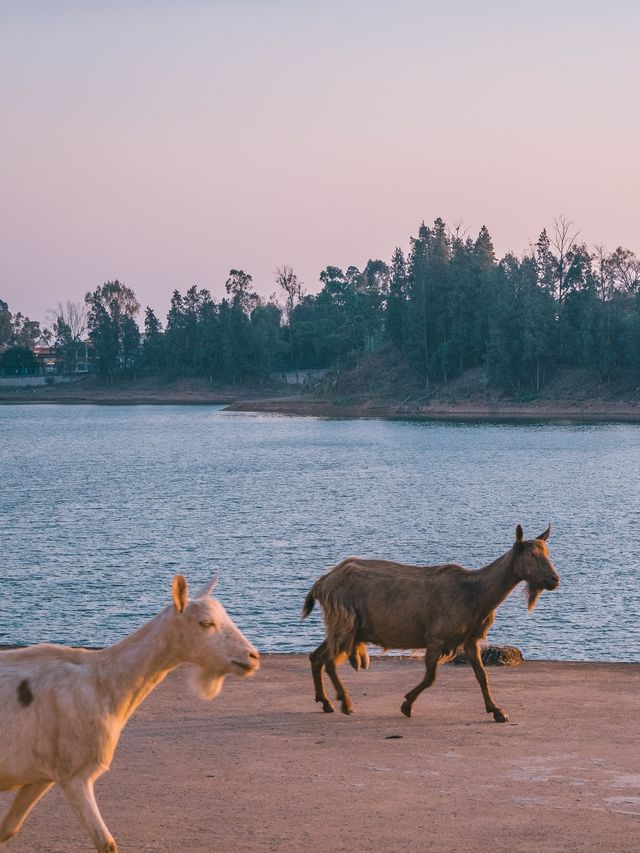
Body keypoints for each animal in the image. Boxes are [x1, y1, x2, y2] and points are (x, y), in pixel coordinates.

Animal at [0, 576, 260, 848]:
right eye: (206, 623)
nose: (252, 656)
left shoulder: (42, 776)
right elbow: (106, 843)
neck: (102, 683)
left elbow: (7, 829)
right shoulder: (75, 775)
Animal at [302, 524, 556, 720]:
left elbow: (481, 675)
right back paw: (345, 703)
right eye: (531, 555)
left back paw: (325, 702)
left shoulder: (469, 639)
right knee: (330, 661)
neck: (475, 593)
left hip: (345, 626)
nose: (554, 579)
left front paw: (497, 711)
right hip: (345, 622)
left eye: (547, 552)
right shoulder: (437, 638)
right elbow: (431, 677)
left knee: (316, 656)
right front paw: (406, 705)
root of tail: (321, 584)